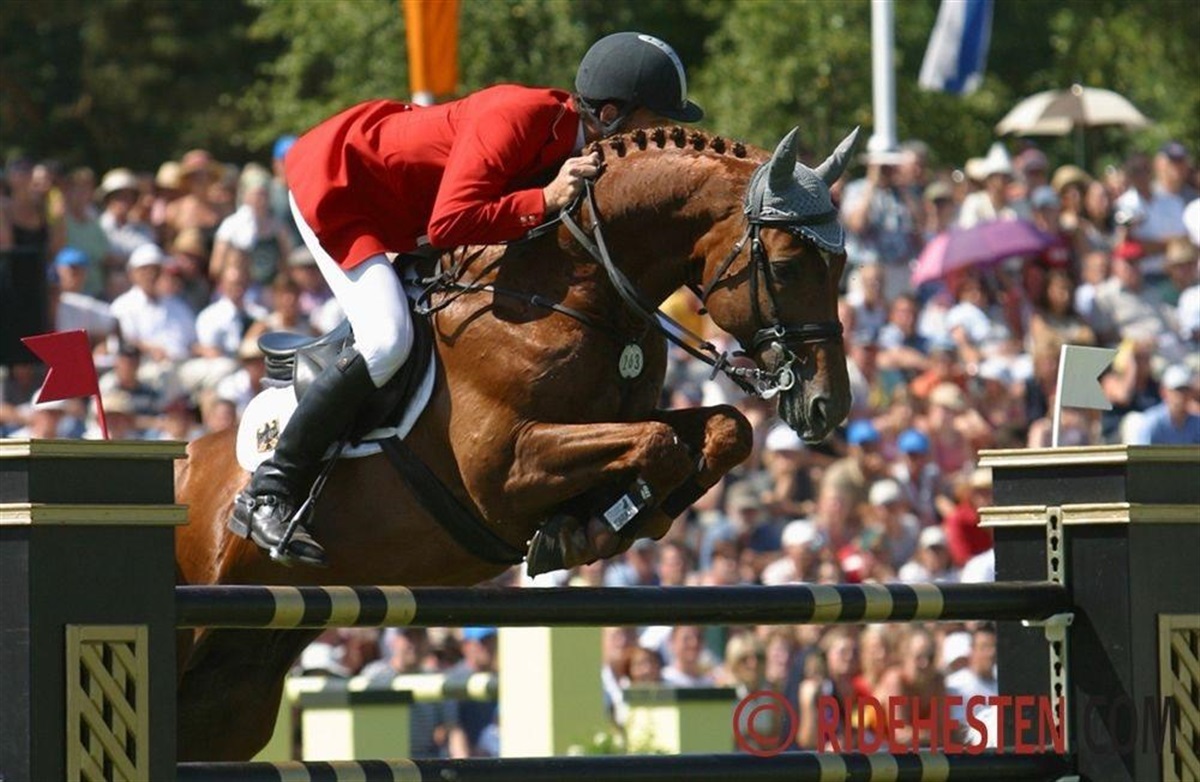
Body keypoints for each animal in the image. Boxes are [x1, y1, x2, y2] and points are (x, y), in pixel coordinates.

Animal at [174, 123, 856, 760]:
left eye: (843, 267)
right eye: (788, 266)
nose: (829, 406)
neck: (571, 290)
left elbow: (723, 429)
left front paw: (615, 518)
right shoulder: (501, 471)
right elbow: (659, 442)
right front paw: (597, 523)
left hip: (234, 687)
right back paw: (269, 512)